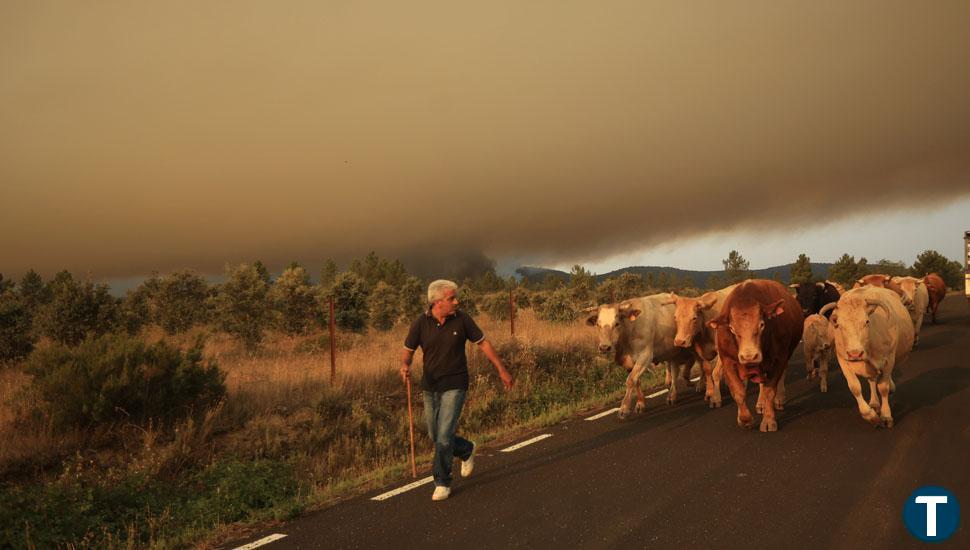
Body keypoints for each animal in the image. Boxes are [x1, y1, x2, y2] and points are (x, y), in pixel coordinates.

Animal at [704, 282, 800, 434]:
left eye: (762, 324)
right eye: (731, 328)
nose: (749, 356)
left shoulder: (779, 359)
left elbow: (769, 390)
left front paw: (768, 420)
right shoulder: (727, 361)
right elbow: (738, 391)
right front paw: (745, 419)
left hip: (786, 355)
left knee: (780, 377)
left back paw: (778, 399)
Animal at [820, 286, 912, 430]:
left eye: (867, 321)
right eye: (838, 324)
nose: (855, 353)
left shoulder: (888, 359)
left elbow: (883, 387)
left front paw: (886, 416)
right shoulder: (843, 361)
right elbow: (855, 387)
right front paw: (871, 416)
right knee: (872, 380)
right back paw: (874, 403)